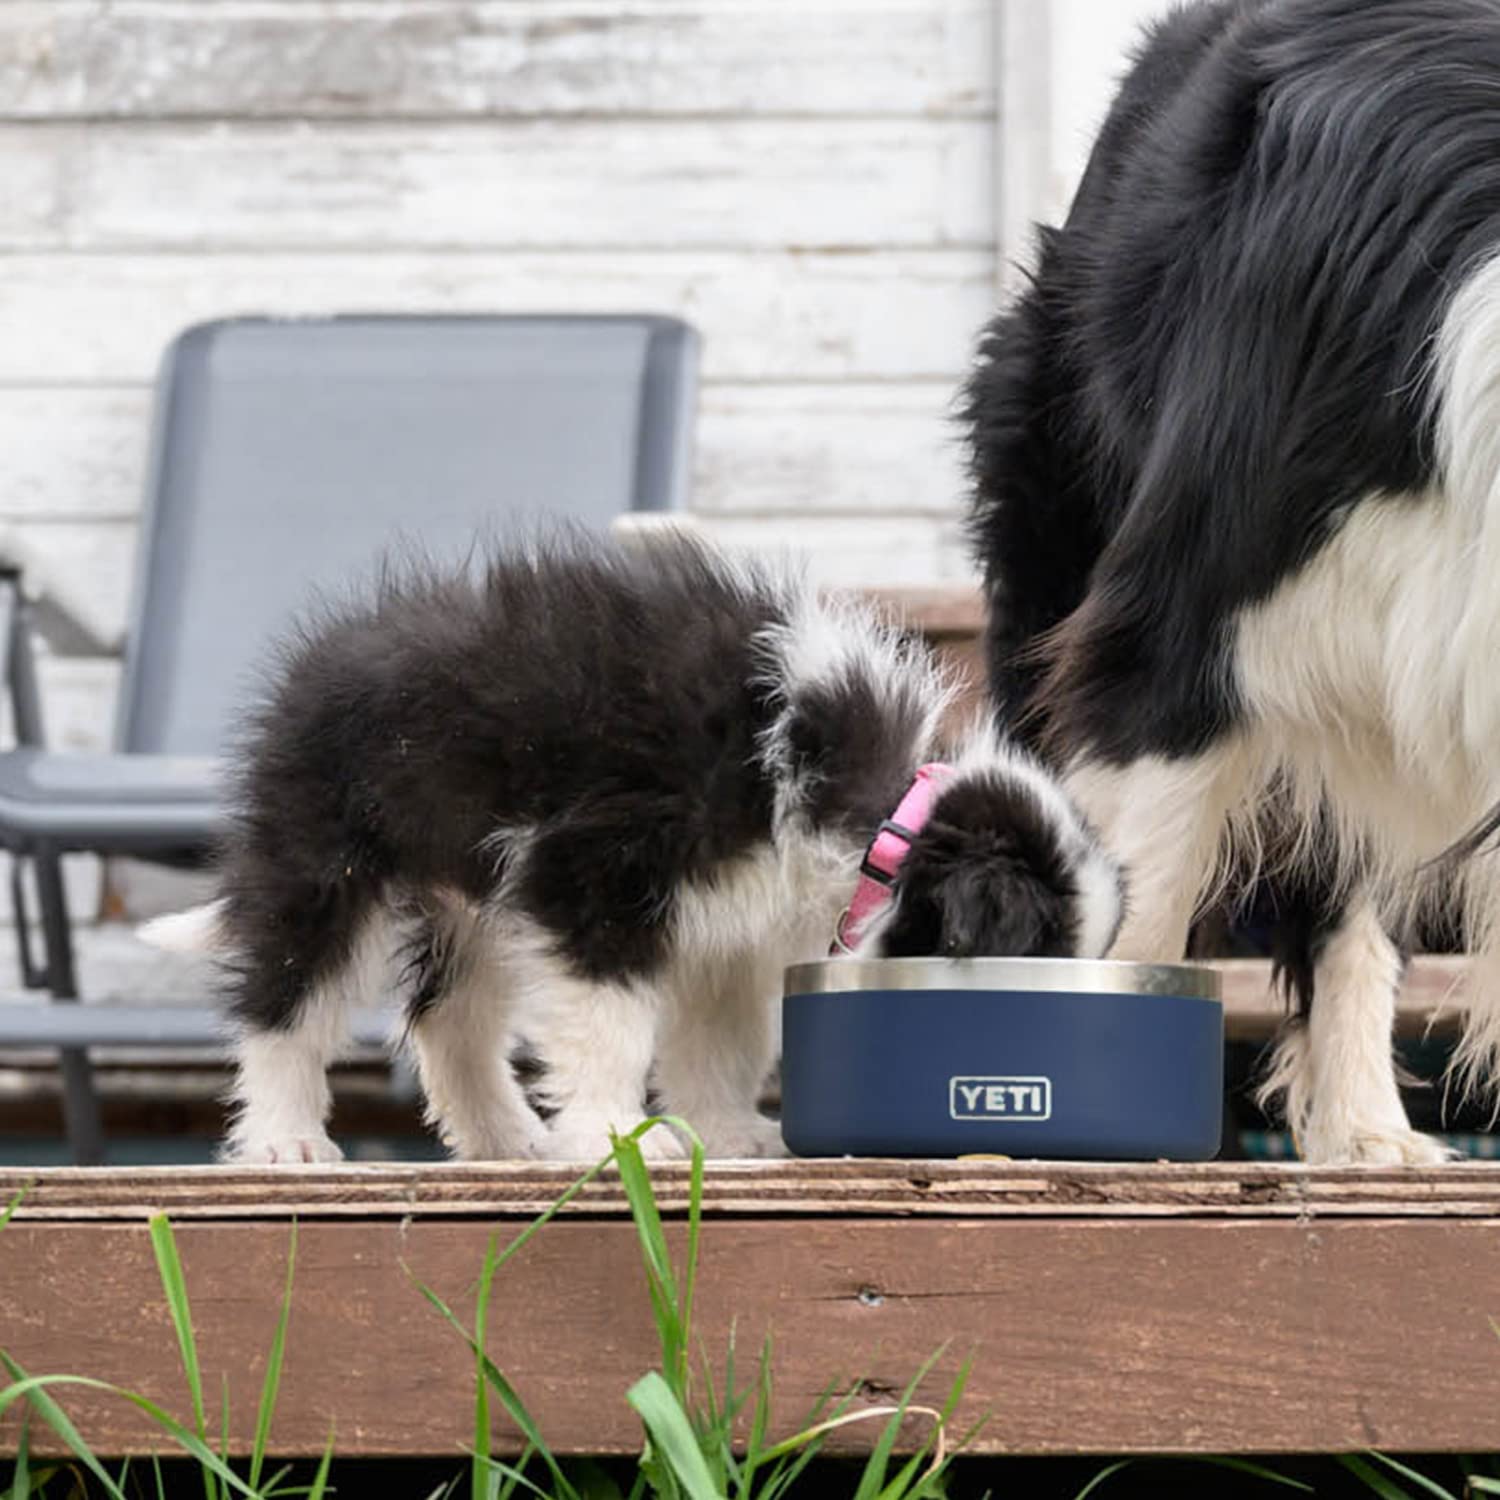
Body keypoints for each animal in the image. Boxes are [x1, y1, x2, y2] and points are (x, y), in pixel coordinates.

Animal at [146, 534, 1122, 1164]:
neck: (880, 813)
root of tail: (313, 666)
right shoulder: (597, 877)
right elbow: (612, 1025)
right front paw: (616, 1137)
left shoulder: (729, 932)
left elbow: (721, 1046)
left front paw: (727, 1136)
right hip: (327, 858)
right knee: (285, 1001)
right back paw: (286, 1138)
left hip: (480, 899)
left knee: (449, 1017)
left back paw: (505, 1139)